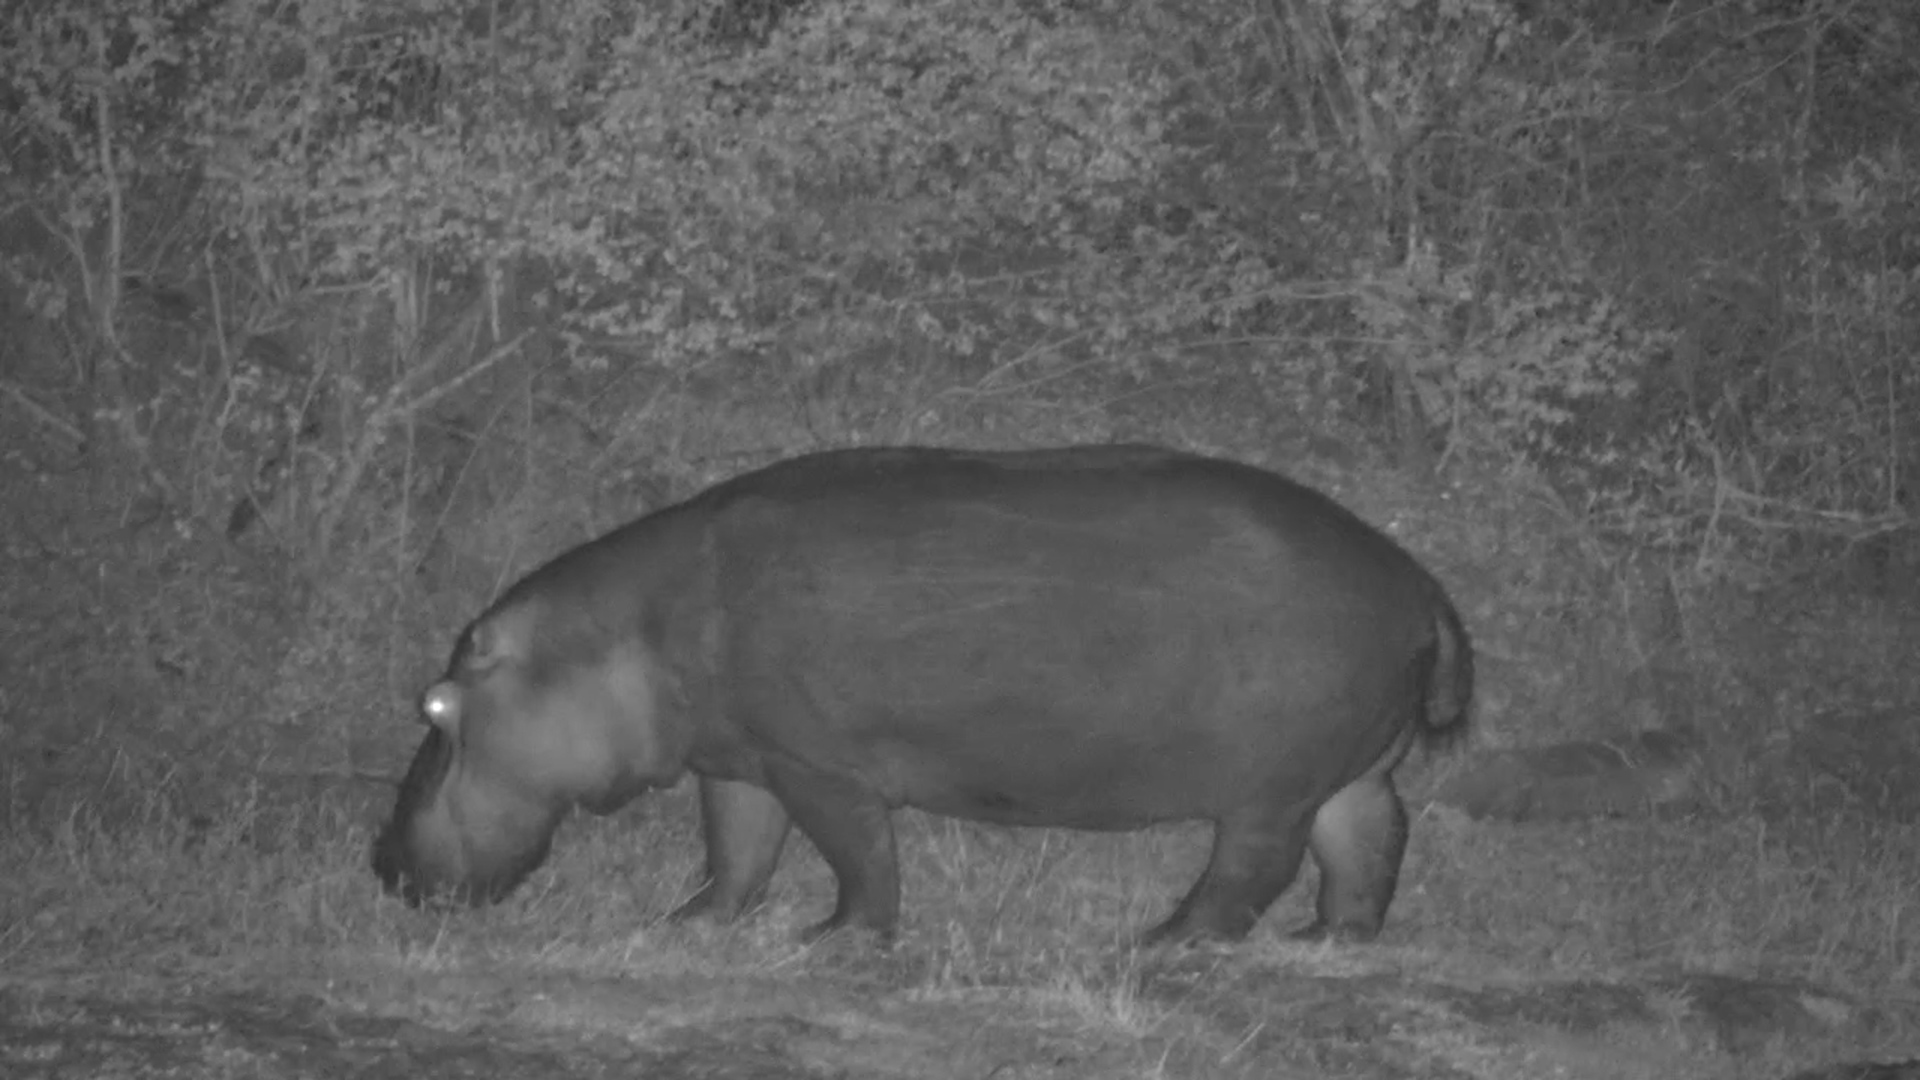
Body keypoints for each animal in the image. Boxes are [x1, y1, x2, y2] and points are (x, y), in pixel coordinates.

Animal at [372, 444, 1472, 945]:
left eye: (435, 708)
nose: (379, 864)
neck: (623, 635)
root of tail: (1417, 581)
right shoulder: (741, 761)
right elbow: (736, 853)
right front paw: (687, 923)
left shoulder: (817, 766)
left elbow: (858, 858)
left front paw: (831, 939)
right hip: (1347, 771)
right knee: (1369, 843)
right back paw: (1328, 940)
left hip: (1268, 787)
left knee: (1253, 866)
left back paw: (1163, 941)